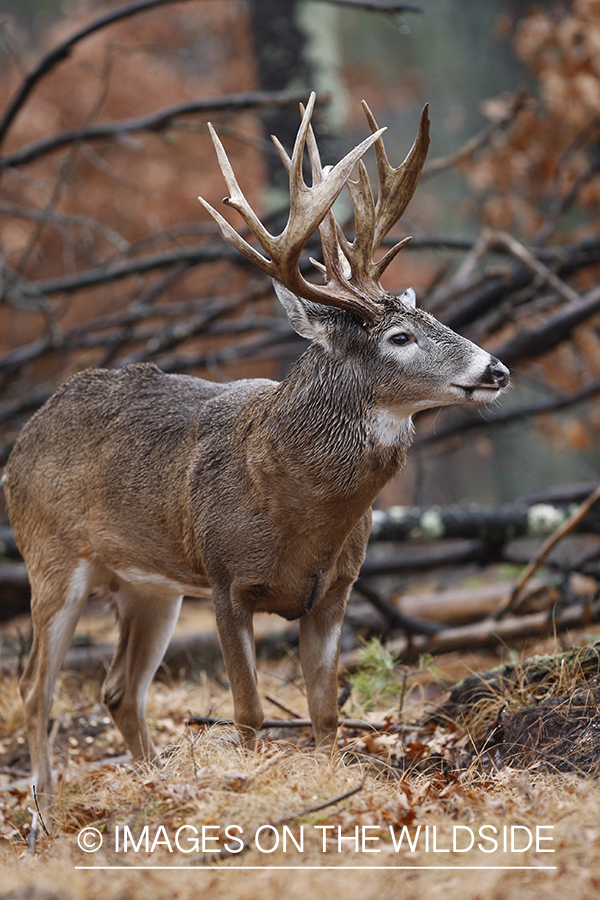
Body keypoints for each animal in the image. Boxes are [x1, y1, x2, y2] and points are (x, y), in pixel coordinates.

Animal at [3, 93, 506, 828]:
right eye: (399, 336)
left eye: (436, 317)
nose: (496, 369)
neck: (295, 503)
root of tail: (20, 442)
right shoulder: (224, 579)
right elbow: (247, 713)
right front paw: (247, 790)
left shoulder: (336, 589)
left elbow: (325, 713)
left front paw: (326, 789)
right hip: (53, 559)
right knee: (35, 688)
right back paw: (43, 813)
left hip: (149, 587)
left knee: (119, 689)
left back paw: (154, 785)